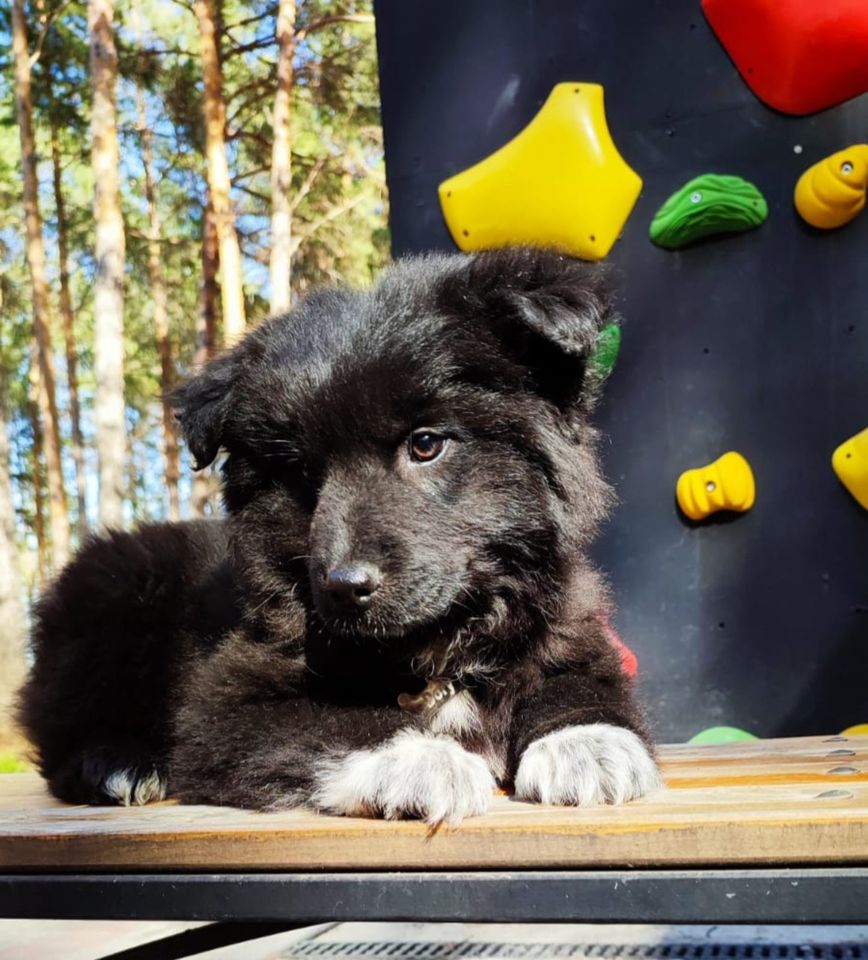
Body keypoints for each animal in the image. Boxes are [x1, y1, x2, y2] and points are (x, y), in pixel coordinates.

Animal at [17, 249, 656, 824]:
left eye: (426, 444)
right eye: (303, 473)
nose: (345, 586)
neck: (434, 647)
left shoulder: (571, 630)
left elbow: (578, 683)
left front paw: (589, 744)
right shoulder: (227, 703)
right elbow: (343, 720)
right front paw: (420, 759)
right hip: (106, 608)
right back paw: (118, 766)